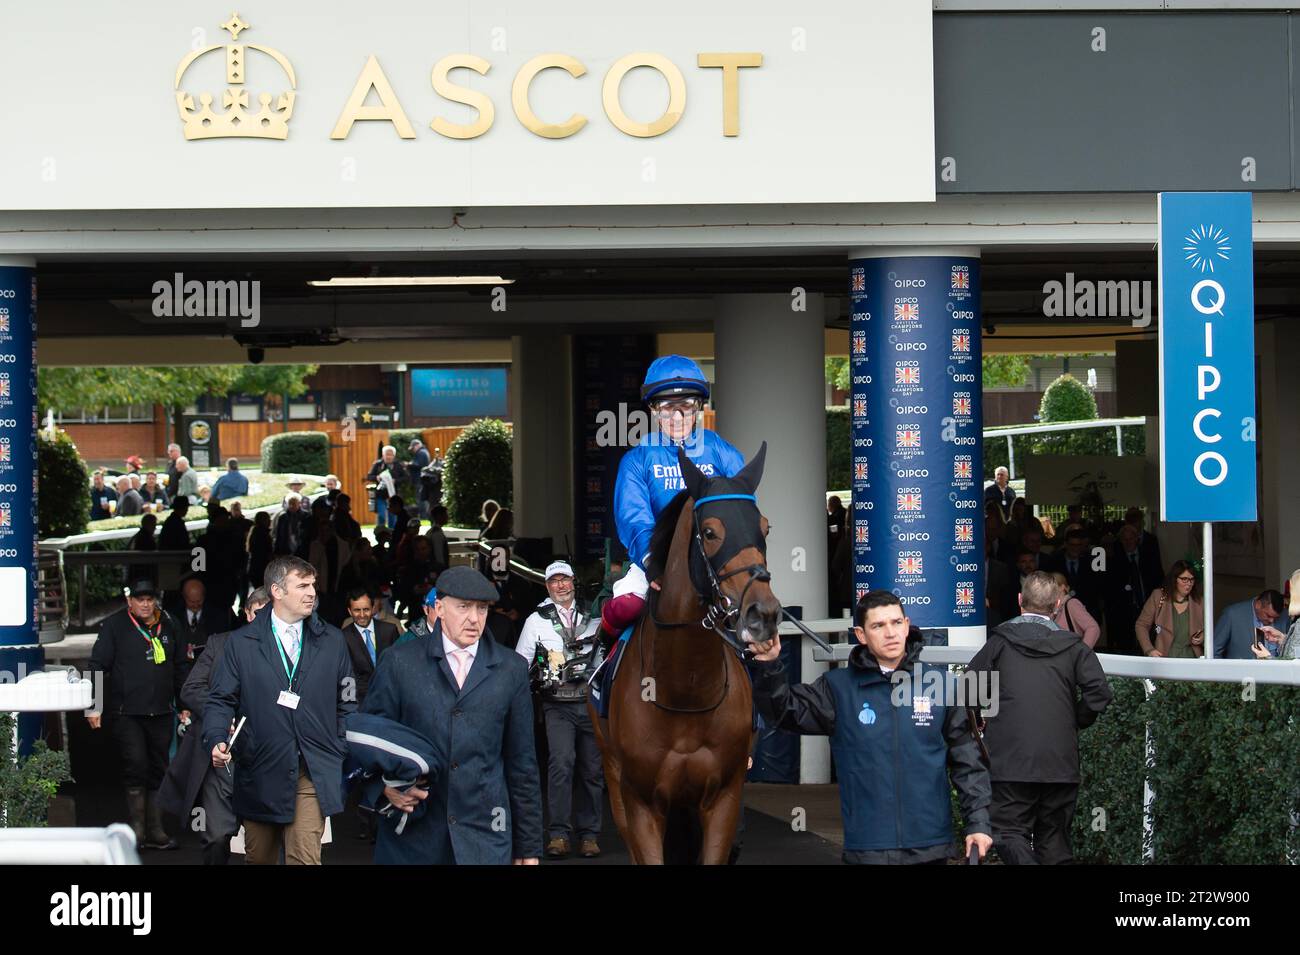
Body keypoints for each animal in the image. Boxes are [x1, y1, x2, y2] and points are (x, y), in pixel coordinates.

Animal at [592, 444, 780, 862]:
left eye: (764, 528)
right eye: (709, 532)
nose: (763, 613)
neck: (686, 690)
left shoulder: (724, 798)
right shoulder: (641, 802)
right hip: (614, 778)